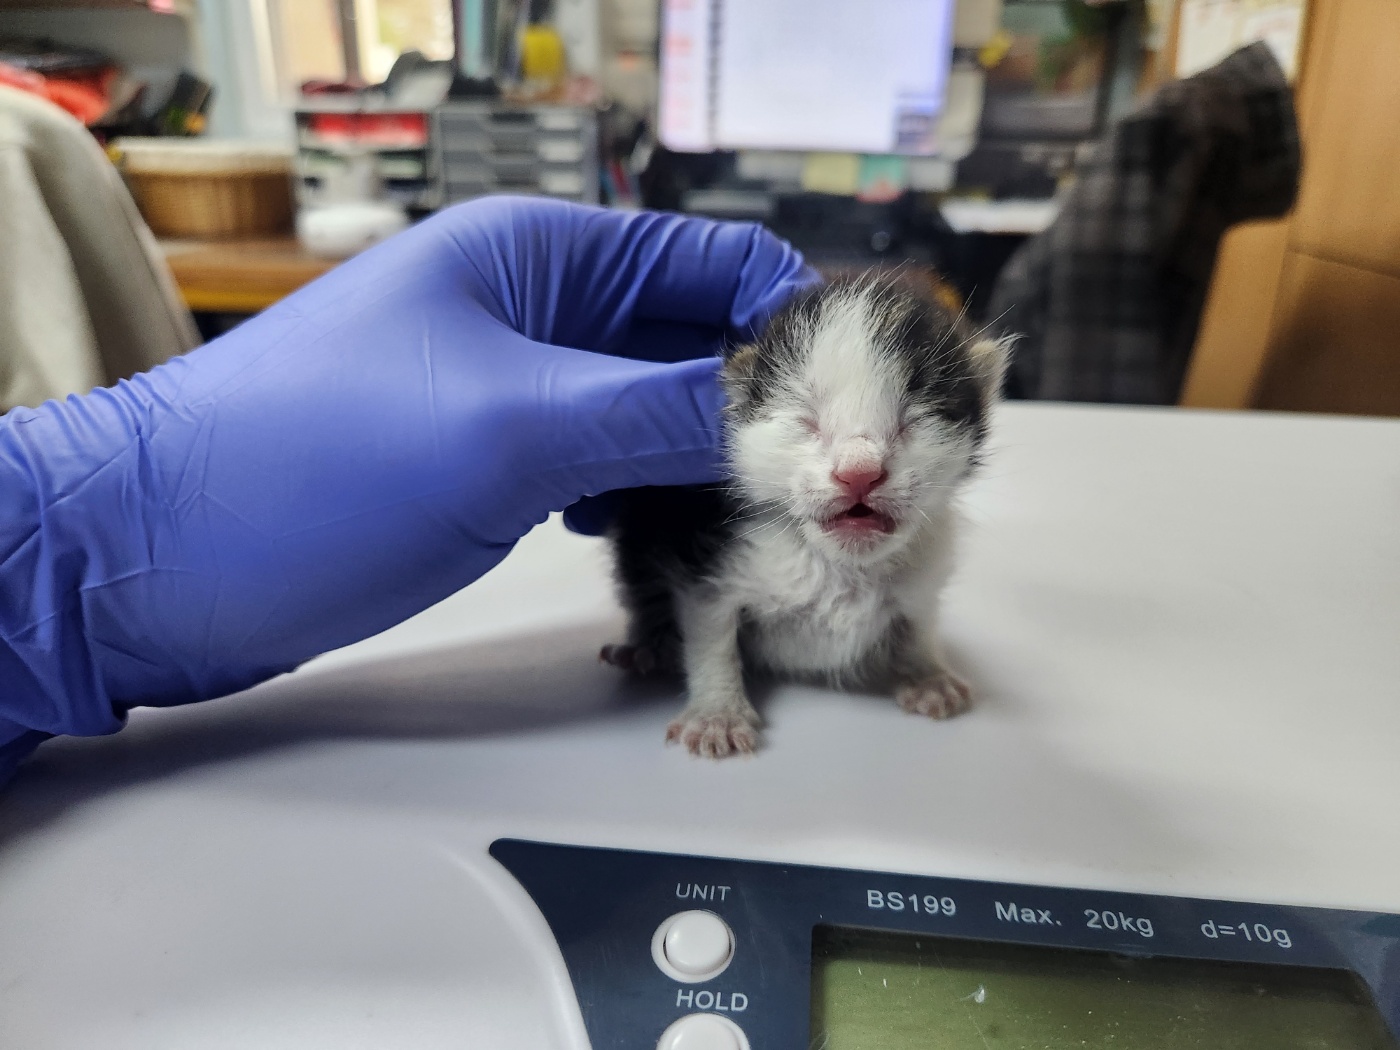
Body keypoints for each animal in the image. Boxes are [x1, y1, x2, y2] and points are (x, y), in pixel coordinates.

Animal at [602, 275, 1008, 761]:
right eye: (806, 421)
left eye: (914, 420)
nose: (858, 473)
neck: (838, 566)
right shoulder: (706, 558)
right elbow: (711, 634)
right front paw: (718, 713)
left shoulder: (925, 571)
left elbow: (919, 619)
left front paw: (927, 673)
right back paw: (648, 646)